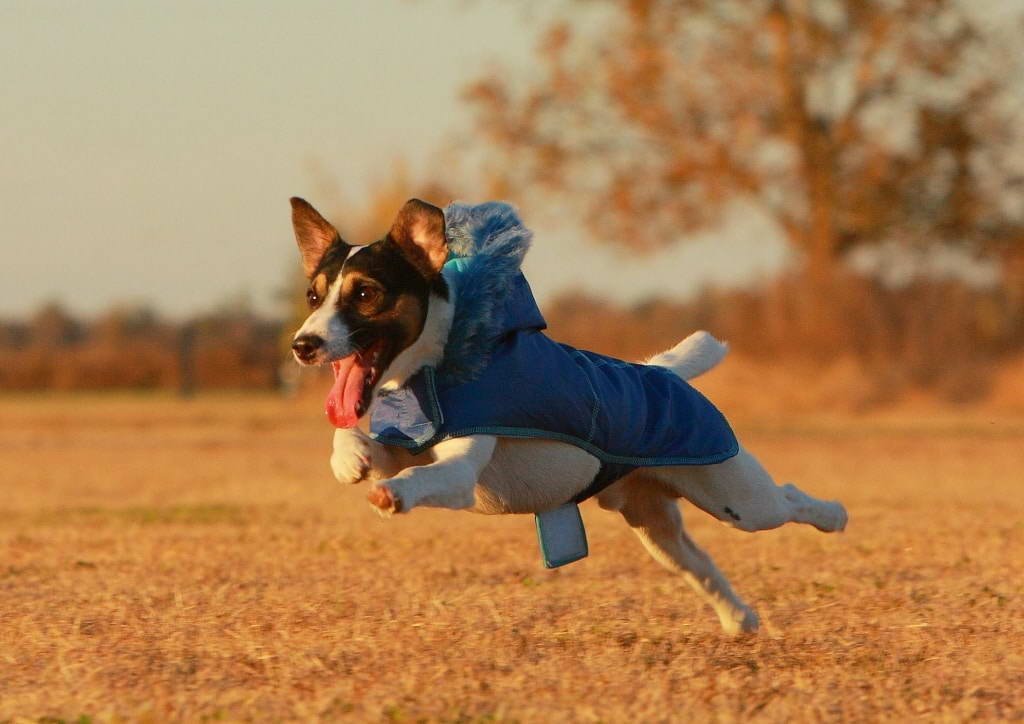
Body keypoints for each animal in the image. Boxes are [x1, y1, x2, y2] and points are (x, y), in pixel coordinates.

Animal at [288, 196, 847, 634]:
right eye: (314, 296)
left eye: (366, 293)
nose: (302, 345)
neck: (432, 368)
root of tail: (664, 374)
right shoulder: (404, 441)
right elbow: (358, 439)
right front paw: (350, 460)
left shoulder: (459, 473)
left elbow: (423, 476)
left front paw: (393, 493)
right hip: (655, 528)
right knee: (701, 564)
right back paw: (740, 619)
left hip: (739, 499)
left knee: (787, 499)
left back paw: (834, 516)